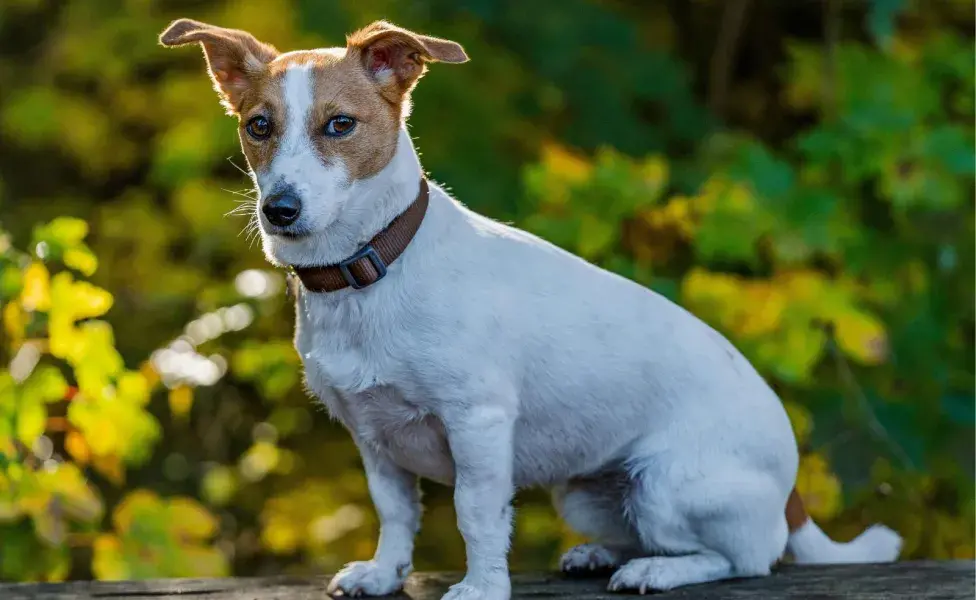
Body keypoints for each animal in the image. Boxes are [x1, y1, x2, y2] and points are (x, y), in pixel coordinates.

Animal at [158, 18, 900, 600]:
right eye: (259, 127)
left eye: (339, 125)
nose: (278, 209)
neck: (370, 272)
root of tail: (792, 497)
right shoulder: (374, 439)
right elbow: (396, 514)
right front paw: (385, 574)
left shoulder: (478, 423)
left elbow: (476, 514)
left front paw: (482, 587)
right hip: (585, 492)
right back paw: (603, 555)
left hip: (665, 485)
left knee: (743, 559)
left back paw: (658, 571)